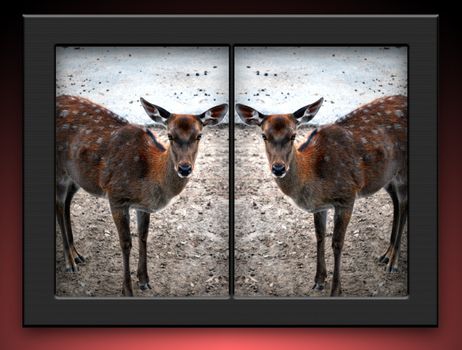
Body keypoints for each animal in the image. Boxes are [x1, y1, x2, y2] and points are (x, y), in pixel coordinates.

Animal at [55, 95, 227, 296]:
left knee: (67, 202)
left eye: (199, 136)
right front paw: (127, 290)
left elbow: (143, 236)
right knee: (59, 205)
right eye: (170, 135)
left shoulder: (142, 206)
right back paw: (70, 262)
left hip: (76, 177)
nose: (184, 168)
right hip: (60, 171)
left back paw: (76, 254)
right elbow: (125, 243)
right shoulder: (116, 196)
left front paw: (144, 280)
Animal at [238, 95, 408, 296]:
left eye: (293, 135)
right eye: (264, 136)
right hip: (387, 177)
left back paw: (393, 262)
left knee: (404, 204)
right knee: (396, 201)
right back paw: (386, 254)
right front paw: (318, 280)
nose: (278, 168)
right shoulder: (320, 206)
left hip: (403, 171)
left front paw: (336, 290)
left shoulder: (347, 196)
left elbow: (337, 243)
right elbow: (319, 236)